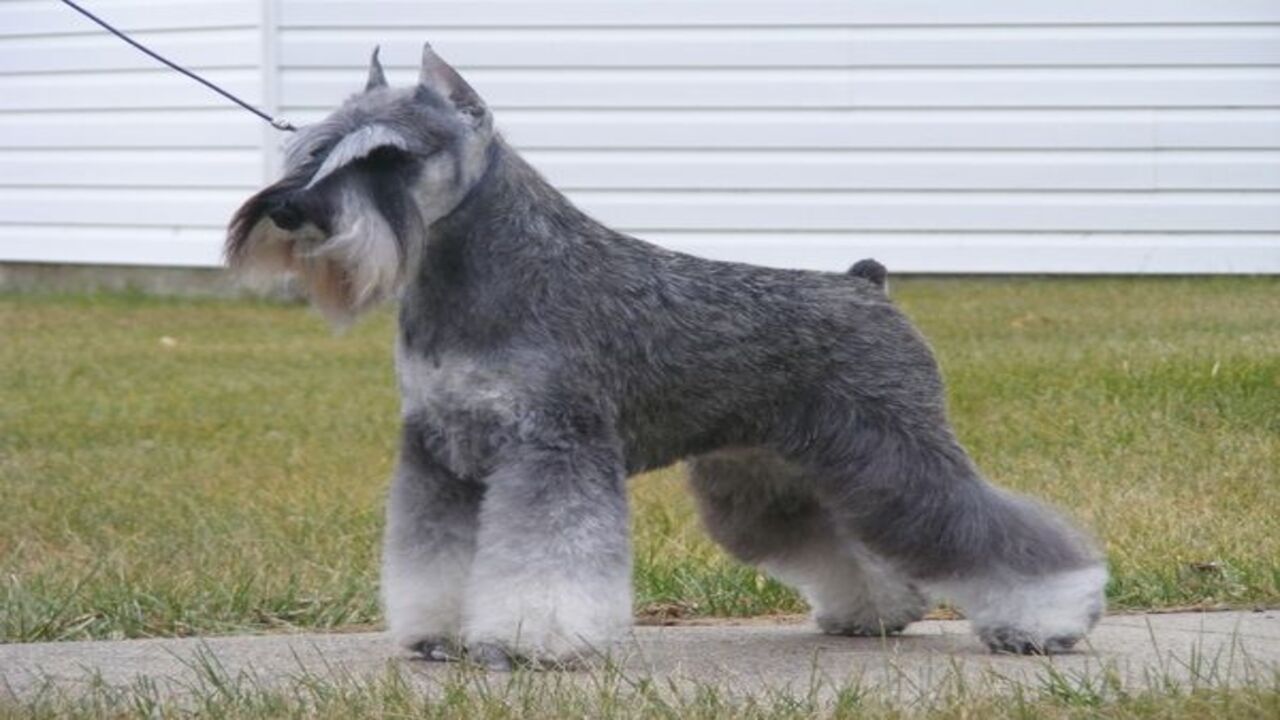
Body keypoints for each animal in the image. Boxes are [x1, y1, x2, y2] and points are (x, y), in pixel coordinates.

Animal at [230, 47, 1111, 666]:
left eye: (389, 156)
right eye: (314, 149)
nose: (288, 209)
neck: (476, 275)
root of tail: (867, 284)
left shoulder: (553, 446)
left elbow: (545, 559)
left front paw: (530, 641)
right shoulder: (440, 454)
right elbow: (433, 559)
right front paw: (437, 634)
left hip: (898, 453)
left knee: (979, 525)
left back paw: (1048, 617)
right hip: (775, 476)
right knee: (847, 542)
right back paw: (874, 613)